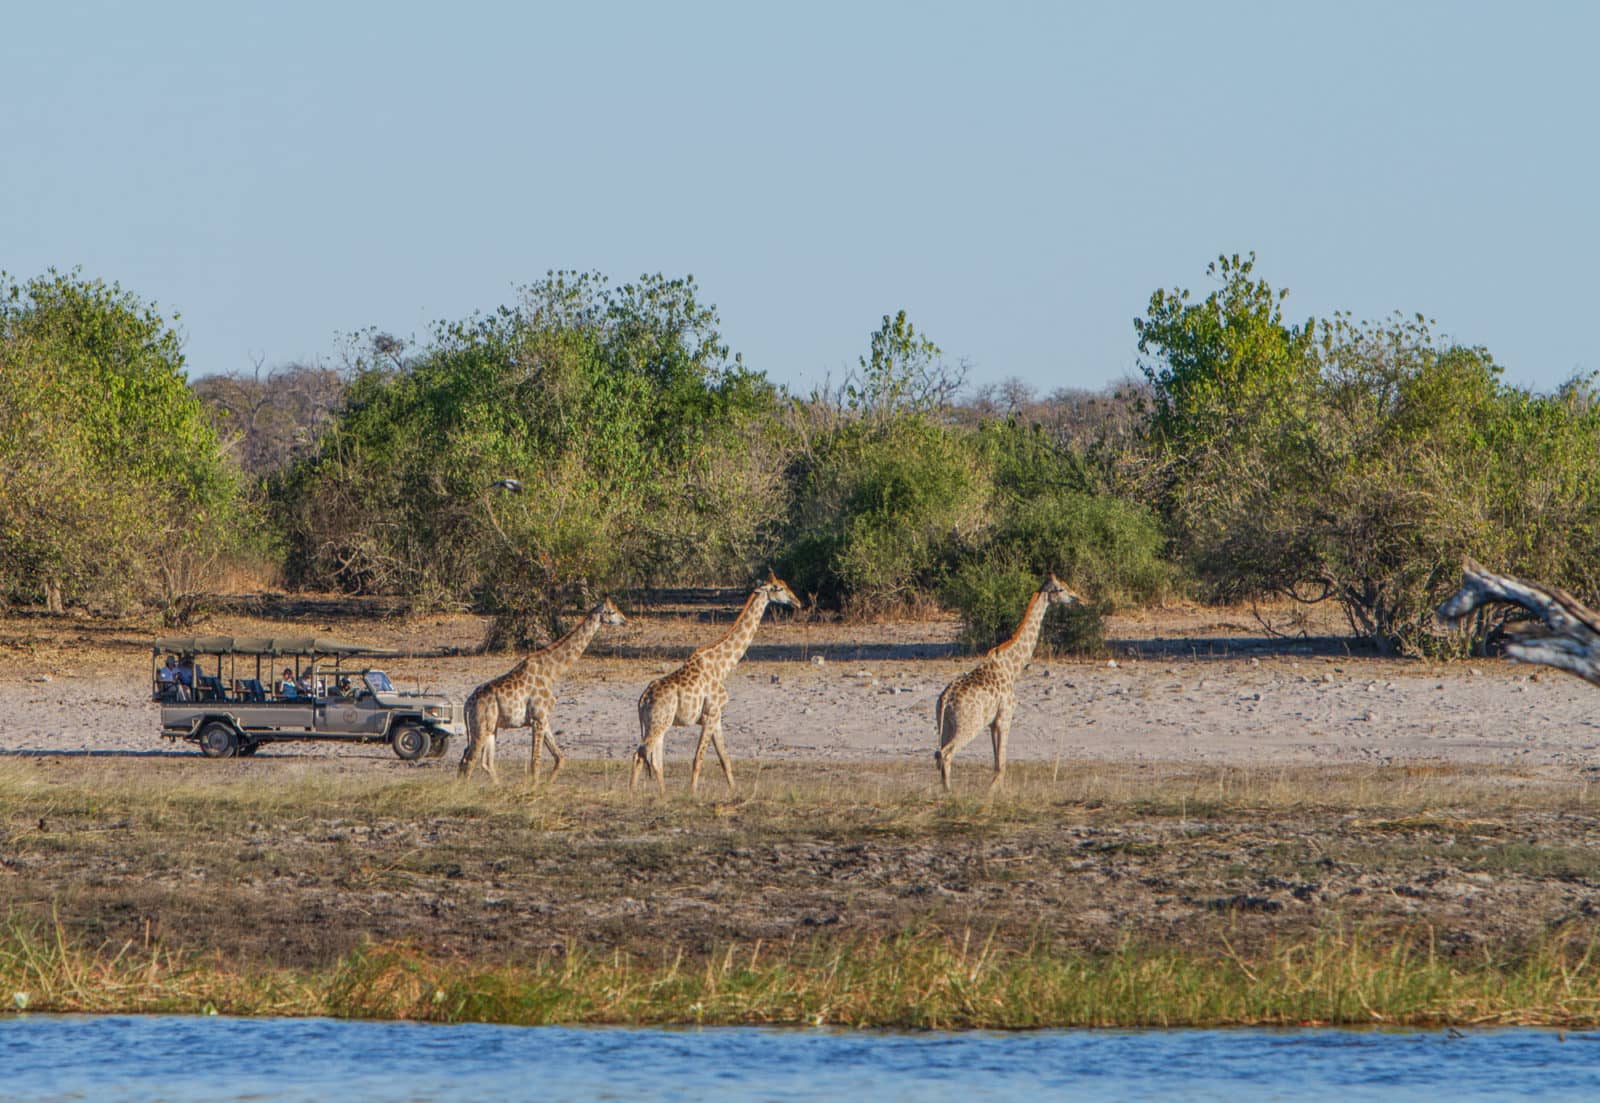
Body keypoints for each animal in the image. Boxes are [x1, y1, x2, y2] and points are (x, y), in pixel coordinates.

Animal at [457, 597, 627, 784]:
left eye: (617, 609)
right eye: (612, 612)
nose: (625, 620)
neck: (552, 673)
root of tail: (467, 704)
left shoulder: (543, 718)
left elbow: (560, 758)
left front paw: (544, 785)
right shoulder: (538, 718)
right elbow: (536, 761)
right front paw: (534, 787)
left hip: (491, 728)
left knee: (482, 761)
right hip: (481, 727)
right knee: (469, 759)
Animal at [630, 573, 800, 793]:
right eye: (779, 588)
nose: (797, 601)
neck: (722, 667)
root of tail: (642, 700)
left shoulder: (717, 718)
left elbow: (724, 759)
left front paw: (734, 791)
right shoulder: (711, 714)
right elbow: (698, 759)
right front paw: (692, 793)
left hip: (658, 724)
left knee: (655, 760)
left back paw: (663, 795)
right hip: (659, 723)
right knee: (640, 754)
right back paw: (632, 793)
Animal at [934, 574, 1081, 791]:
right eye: (1061, 589)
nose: (1076, 597)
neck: (1012, 668)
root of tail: (945, 700)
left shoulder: (993, 722)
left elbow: (998, 763)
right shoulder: (1006, 715)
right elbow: (1001, 764)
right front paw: (991, 793)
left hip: (944, 724)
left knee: (938, 753)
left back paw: (945, 791)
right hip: (968, 724)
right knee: (946, 753)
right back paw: (950, 793)